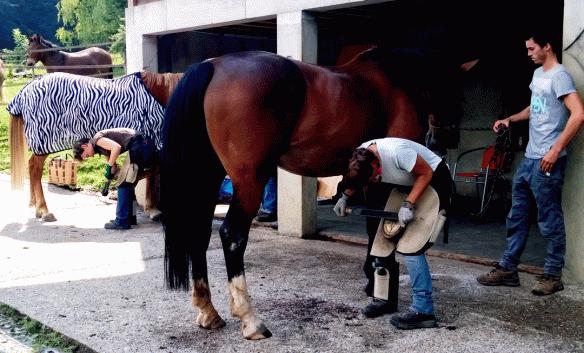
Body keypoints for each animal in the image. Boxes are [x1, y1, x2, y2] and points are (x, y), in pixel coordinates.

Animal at [8, 70, 182, 221]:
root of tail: (27, 88)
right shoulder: (152, 143)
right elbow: (152, 173)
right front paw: (152, 209)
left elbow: (152, 172)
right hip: (42, 145)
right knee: (35, 169)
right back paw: (44, 210)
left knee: (32, 167)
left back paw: (37, 207)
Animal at [157, 48, 458, 340]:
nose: (443, 142)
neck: (397, 81)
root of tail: (214, 65)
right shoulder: (381, 175)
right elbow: (377, 226)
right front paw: (378, 282)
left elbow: (373, 225)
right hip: (249, 181)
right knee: (232, 236)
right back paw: (251, 320)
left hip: (208, 176)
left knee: (198, 232)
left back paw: (208, 311)